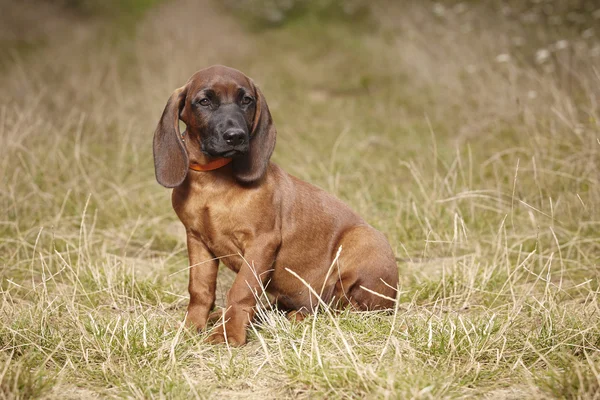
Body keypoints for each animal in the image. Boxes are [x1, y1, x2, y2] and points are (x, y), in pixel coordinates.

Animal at [154, 66, 398, 346]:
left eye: (246, 100)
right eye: (204, 101)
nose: (236, 136)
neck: (213, 182)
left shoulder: (262, 243)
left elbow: (241, 290)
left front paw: (229, 333)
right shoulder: (197, 241)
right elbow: (200, 290)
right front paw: (190, 327)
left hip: (361, 243)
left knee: (341, 309)